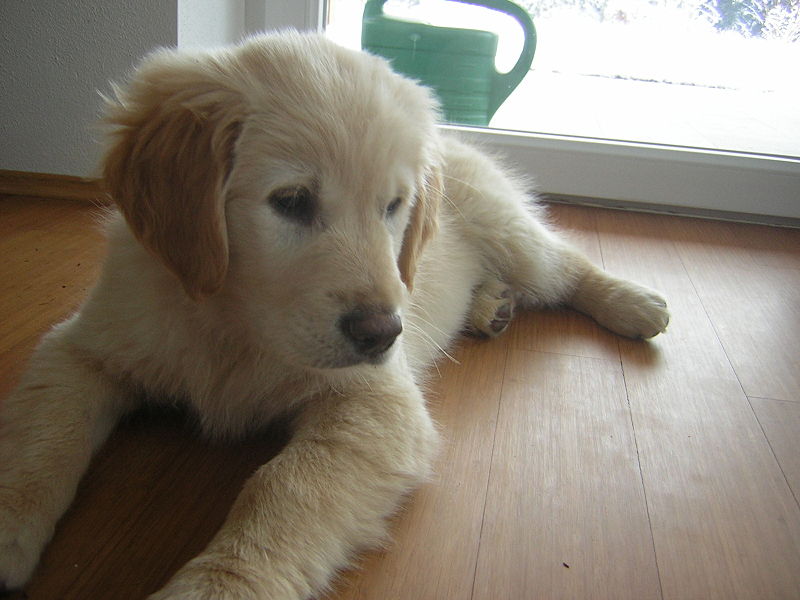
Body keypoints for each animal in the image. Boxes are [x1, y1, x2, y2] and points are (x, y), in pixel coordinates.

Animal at [0, 31, 668, 600]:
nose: (385, 335)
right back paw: (489, 305)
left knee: (564, 262)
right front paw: (8, 528)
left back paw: (634, 304)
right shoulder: (82, 349)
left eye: (393, 206)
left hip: (509, 233)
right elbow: (42, 438)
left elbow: (287, 489)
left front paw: (221, 584)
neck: (235, 326)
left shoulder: (375, 403)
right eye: (291, 201)